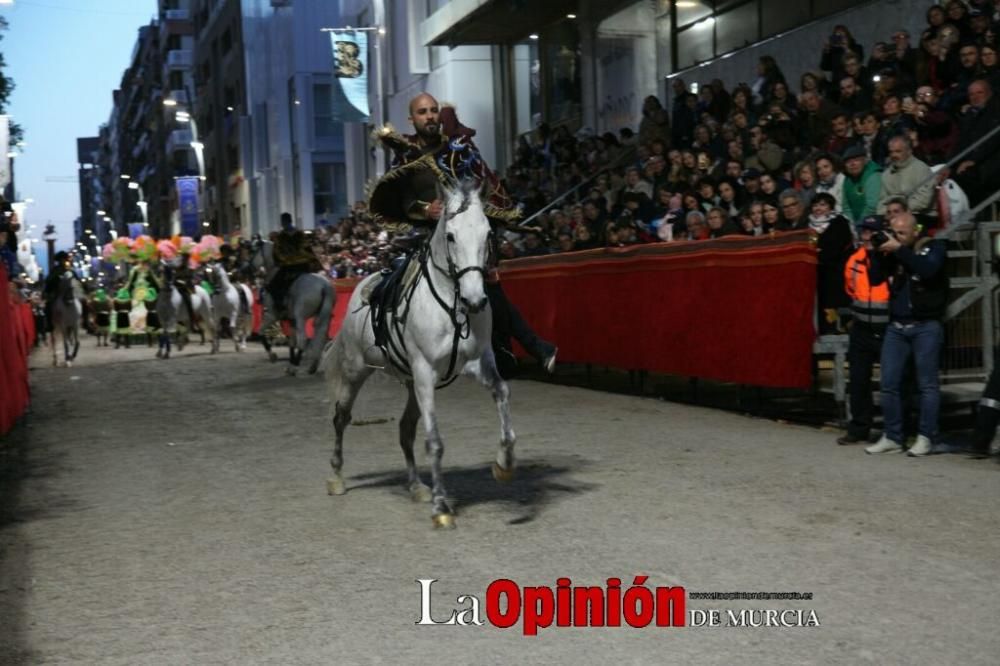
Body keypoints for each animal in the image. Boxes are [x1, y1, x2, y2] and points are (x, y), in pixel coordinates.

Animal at [322, 179, 516, 528]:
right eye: (451, 236)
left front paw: (504, 463)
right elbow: (434, 441)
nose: (475, 300)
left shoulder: (478, 363)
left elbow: (502, 395)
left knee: (405, 429)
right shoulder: (425, 372)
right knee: (341, 418)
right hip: (357, 370)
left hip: (411, 383)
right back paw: (337, 476)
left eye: (487, 234)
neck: (453, 307)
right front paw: (441, 507)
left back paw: (416, 485)